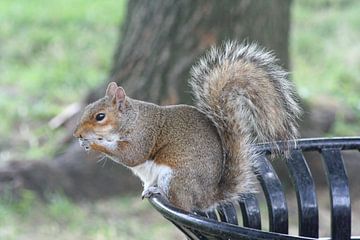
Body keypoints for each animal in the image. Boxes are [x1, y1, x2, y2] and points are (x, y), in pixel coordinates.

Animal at [73, 41, 300, 212]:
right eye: (87, 108)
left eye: (100, 116)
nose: (77, 134)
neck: (132, 119)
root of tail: (208, 197)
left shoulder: (142, 135)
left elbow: (131, 156)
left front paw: (94, 143)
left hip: (174, 179)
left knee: (184, 206)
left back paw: (161, 193)